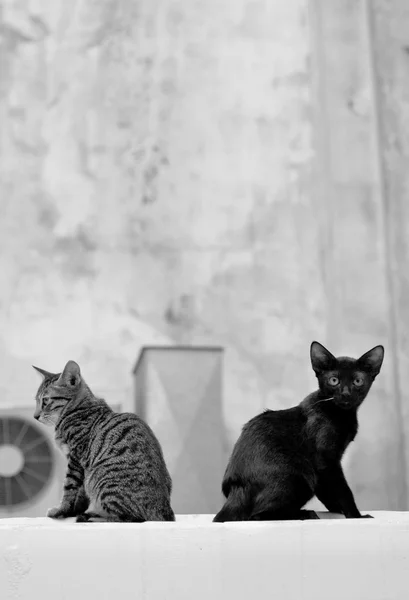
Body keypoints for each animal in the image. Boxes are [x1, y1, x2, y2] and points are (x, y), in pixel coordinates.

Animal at [33, 360, 174, 520]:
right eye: (36, 401)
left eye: (45, 400)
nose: (35, 416)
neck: (78, 408)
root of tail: (164, 510)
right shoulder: (80, 465)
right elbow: (81, 493)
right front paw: (74, 510)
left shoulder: (75, 457)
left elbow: (70, 487)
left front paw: (62, 510)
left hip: (101, 481)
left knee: (128, 517)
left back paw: (94, 516)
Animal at [212, 342, 384, 520]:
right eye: (334, 380)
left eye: (357, 381)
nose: (345, 393)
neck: (341, 415)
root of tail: (237, 486)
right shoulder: (326, 461)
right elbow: (343, 490)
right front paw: (356, 516)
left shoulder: (325, 468)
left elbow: (327, 491)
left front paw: (337, 509)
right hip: (300, 478)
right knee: (257, 515)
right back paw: (305, 513)